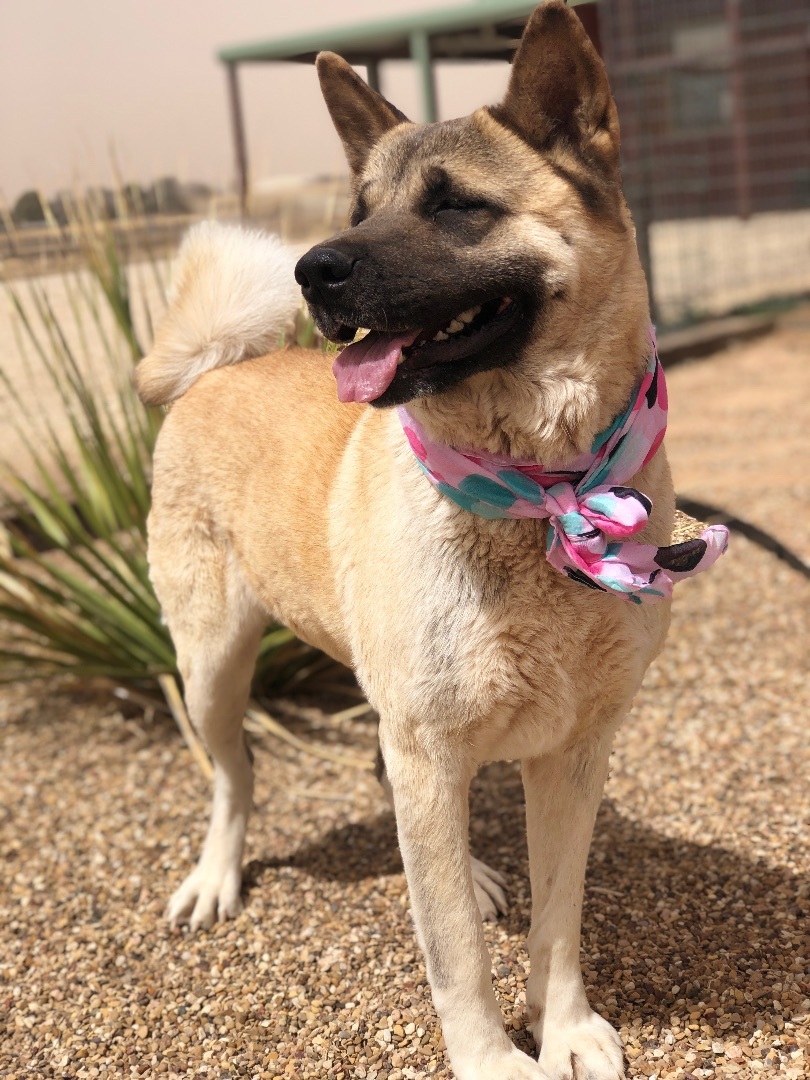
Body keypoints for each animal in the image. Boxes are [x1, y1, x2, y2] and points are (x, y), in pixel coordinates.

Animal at [135, 4, 730, 1075]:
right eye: (360, 206)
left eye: (456, 206)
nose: (314, 269)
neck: (539, 494)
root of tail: (216, 367)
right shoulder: (430, 741)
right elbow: (451, 950)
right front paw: (494, 1058)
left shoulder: (572, 752)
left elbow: (559, 917)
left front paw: (565, 1027)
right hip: (211, 667)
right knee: (235, 779)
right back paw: (216, 877)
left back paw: (480, 871)